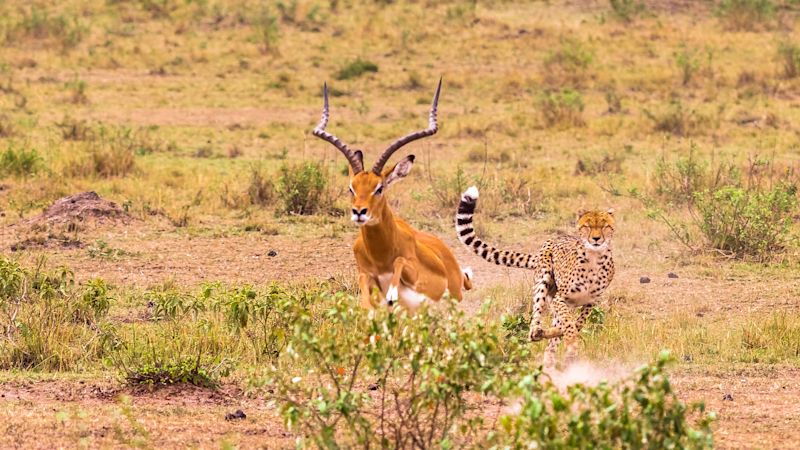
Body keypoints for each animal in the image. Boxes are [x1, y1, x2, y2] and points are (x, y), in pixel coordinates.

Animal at [311, 79, 473, 311]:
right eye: (352, 188)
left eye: (379, 188)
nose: (359, 212)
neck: (381, 256)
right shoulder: (365, 274)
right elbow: (365, 292)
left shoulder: (413, 271)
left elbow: (399, 261)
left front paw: (393, 293)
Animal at [455, 186, 615, 368]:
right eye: (587, 226)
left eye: (604, 226)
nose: (596, 239)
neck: (594, 258)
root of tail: (553, 239)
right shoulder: (560, 299)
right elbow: (569, 324)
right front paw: (571, 341)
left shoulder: (590, 302)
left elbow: (577, 322)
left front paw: (567, 340)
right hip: (543, 281)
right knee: (534, 325)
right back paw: (539, 333)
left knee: (551, 339)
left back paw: (549, 357)